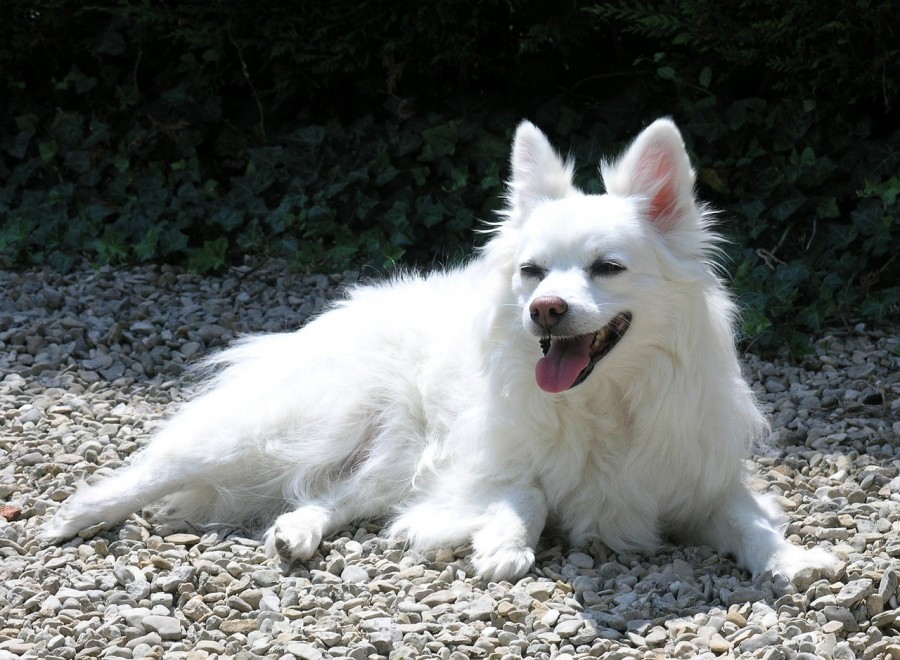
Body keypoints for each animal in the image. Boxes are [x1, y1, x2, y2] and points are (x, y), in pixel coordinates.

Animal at [45, 118, 840, 584]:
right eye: (532, 271)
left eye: (607, 268)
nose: (545, 309)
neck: (605, 402)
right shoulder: (470, 469)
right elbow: (525, 492)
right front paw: (504, 543)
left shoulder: (703, 487)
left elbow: (751, 525)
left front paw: (793, 558)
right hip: (294, 429)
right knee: (152, 470)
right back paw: (70, 518)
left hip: (383, 461)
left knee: (331, 497)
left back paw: (297, 530)